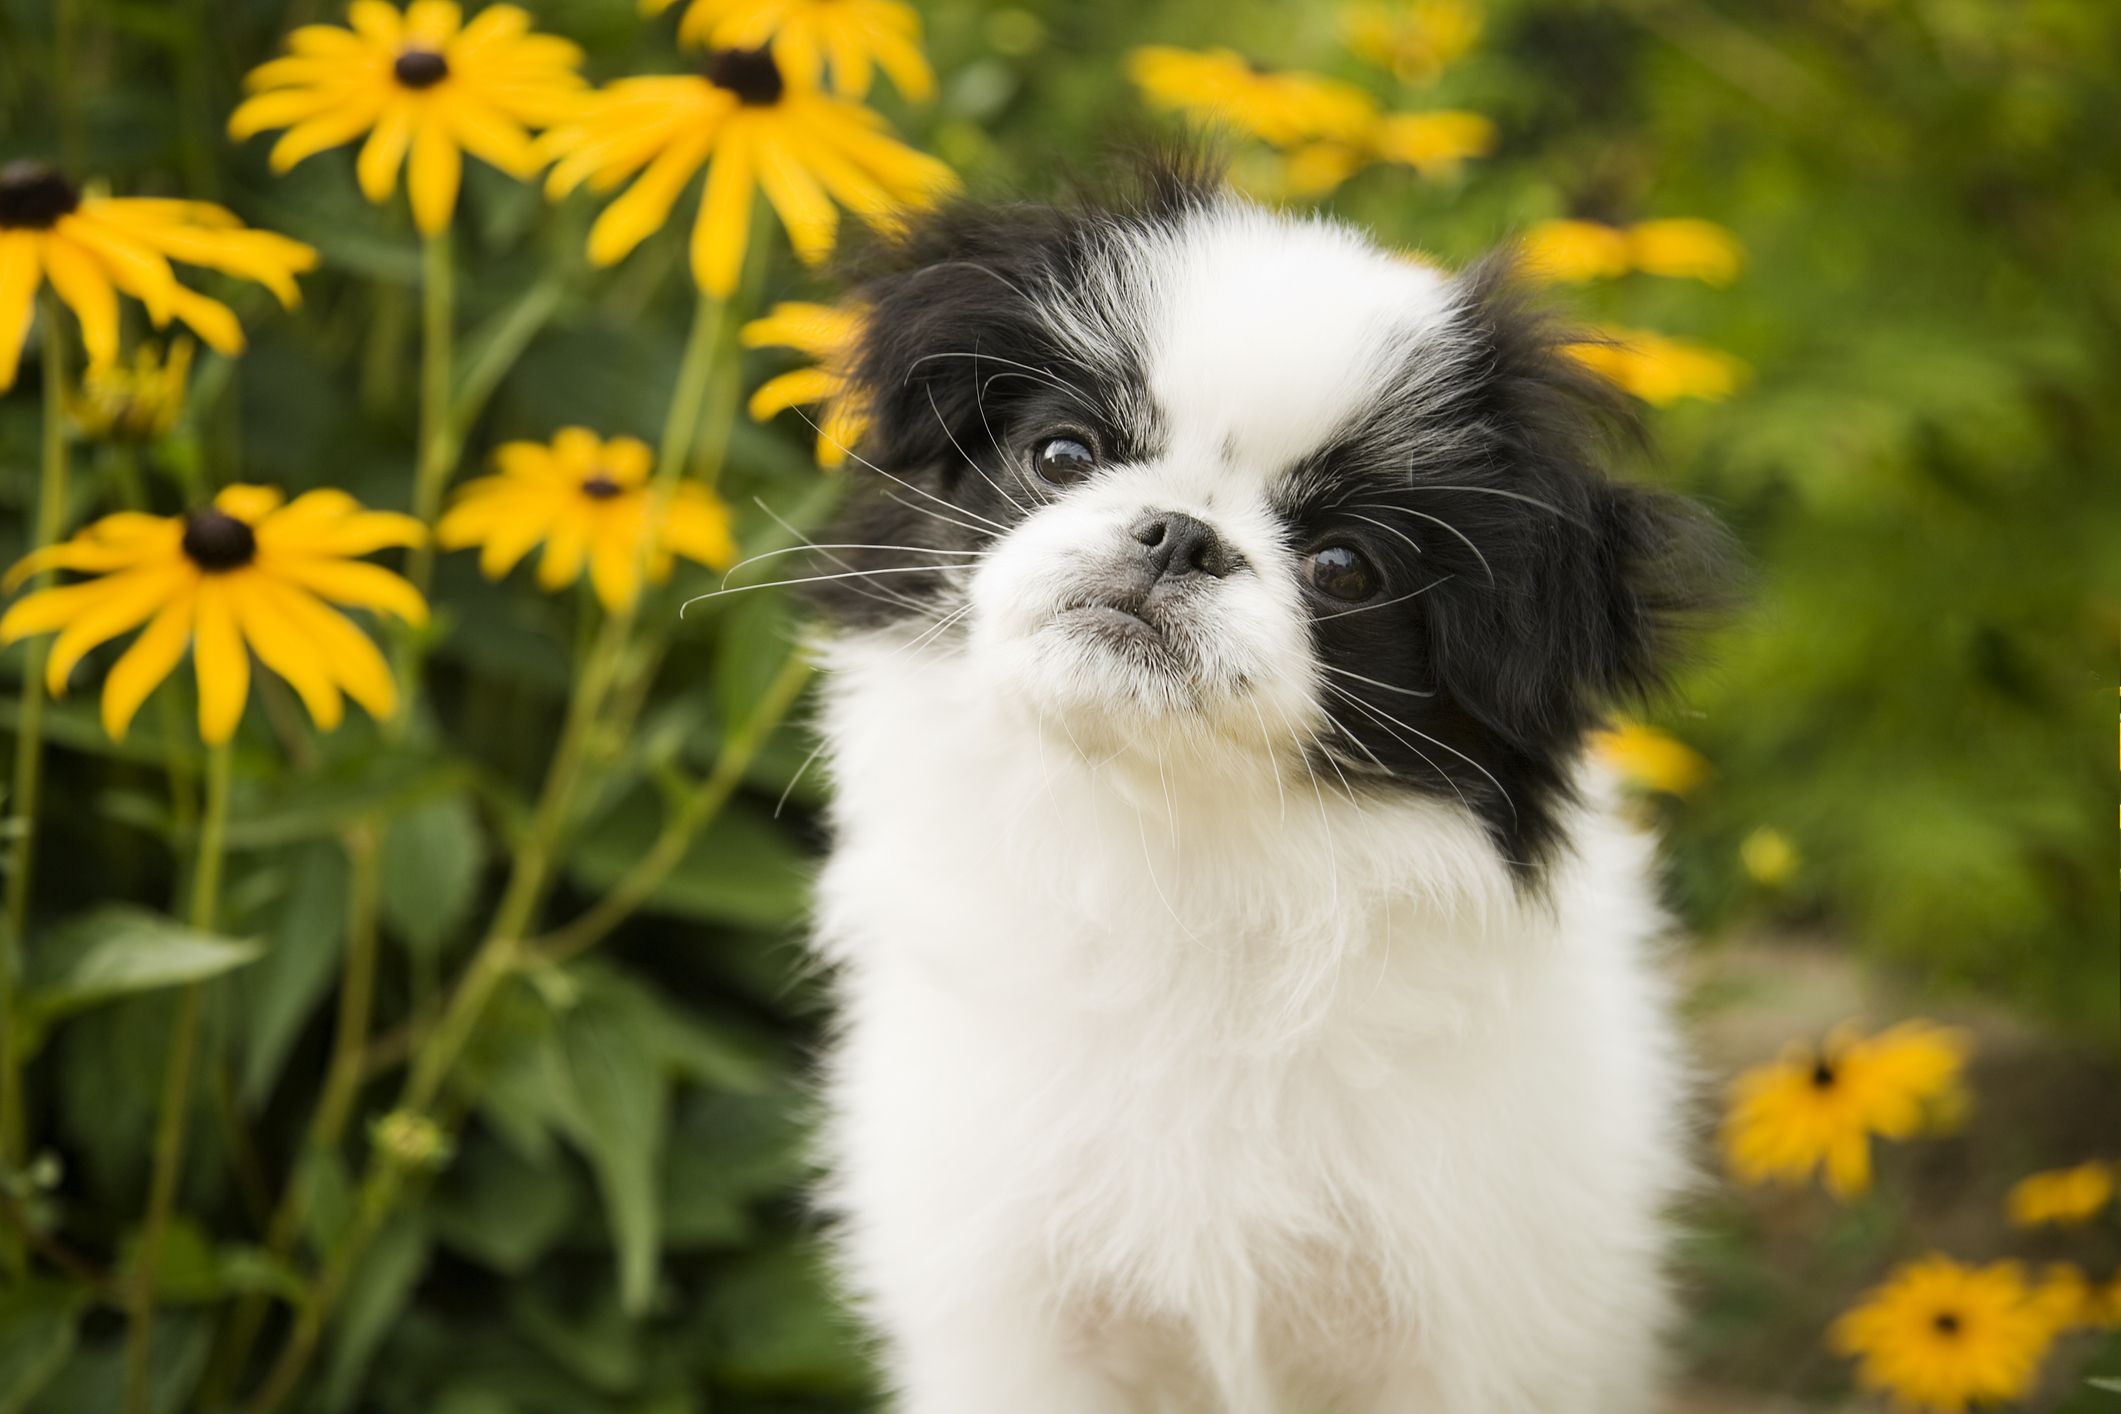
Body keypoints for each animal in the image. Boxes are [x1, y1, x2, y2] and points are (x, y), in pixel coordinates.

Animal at [797, 160, 1722, 1414]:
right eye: (1063, 456)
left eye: (1343, 567)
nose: (1178, 535)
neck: (1174, 854)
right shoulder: (1018, 1313)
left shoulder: (1469, 1326)